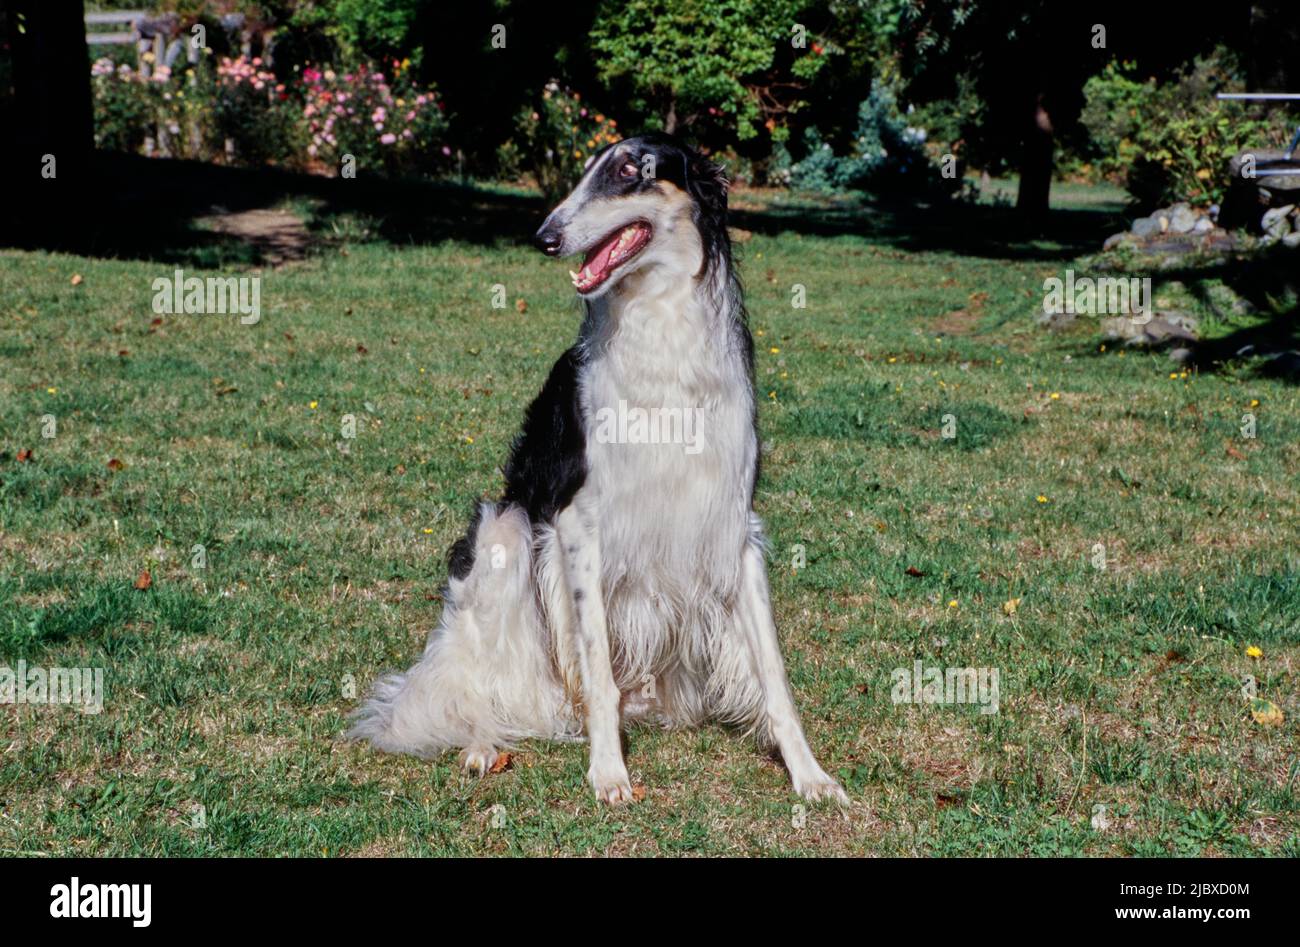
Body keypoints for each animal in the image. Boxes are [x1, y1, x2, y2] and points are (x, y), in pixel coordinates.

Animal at [351, 131, 847, 806]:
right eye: (586, 170)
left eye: (630, 171)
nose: (545, 235)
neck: (661, 329)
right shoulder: (577, 525)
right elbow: (599, 671)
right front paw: (609, 772)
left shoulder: (733, 526)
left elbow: (774, 676)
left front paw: (810, 775)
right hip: (505, 534)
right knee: (474, 689)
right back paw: (483, 746)